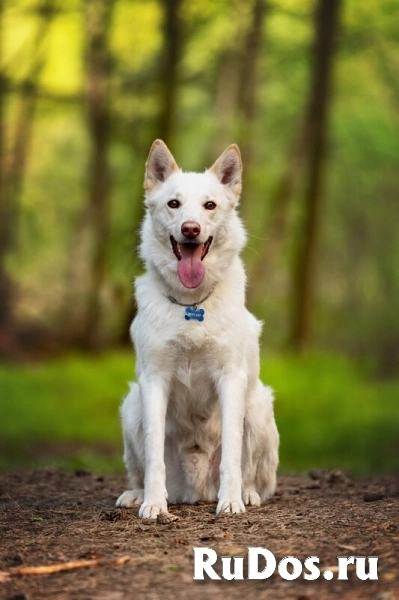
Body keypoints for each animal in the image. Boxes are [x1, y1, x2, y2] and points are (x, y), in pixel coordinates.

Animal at [115, 139, 278, 516]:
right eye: (173, 204)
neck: (191, 305)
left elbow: (232, 453)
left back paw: (246, 493)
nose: (190, 228)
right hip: (132, 405)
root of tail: (196, 491)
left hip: (259, 407)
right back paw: (137, 495)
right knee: (140, 469)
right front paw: (154, 505)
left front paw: (231, 501)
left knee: (256, 476)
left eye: (210, 205)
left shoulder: (231, 378)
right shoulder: (154, 380)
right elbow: (154, 457)